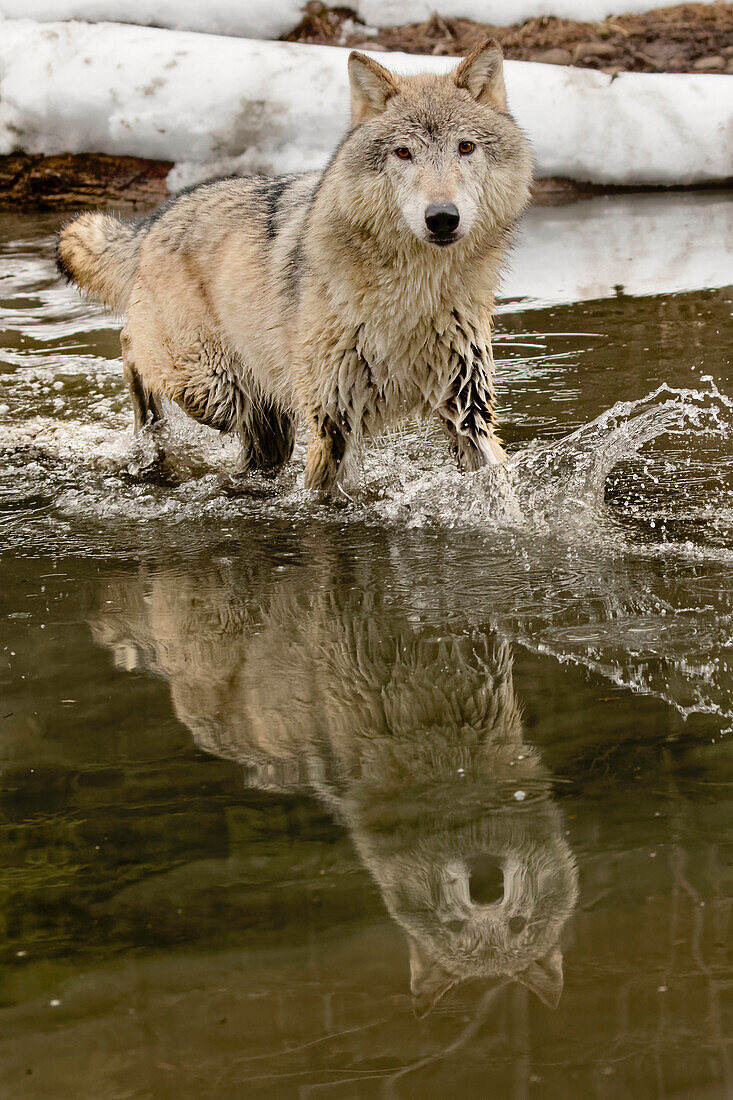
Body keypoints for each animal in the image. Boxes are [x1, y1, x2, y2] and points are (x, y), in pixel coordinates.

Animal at [55, 40, 526, 490]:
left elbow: (499, 486)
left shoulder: (468, 412)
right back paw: (146, 434)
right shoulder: (332, 421)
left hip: (261, 419)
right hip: (214, 391)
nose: (442, 217)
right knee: (130, 347)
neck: (414, 295)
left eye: (465, 147)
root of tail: (156, 220)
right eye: (403, 152)